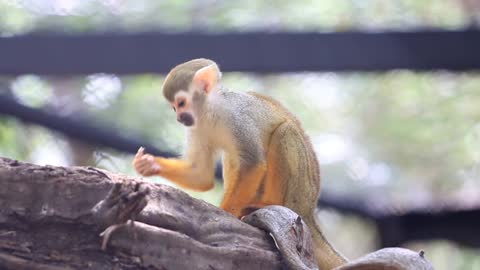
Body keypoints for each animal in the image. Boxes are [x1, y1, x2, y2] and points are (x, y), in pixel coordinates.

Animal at [133, 58, 346, 268]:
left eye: (181, 103)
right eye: (174, 107)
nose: (179, 118)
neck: (211, 111)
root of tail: (310, 211)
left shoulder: (237, 119)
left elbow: (253, 163)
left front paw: (226, 212)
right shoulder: (196, 126)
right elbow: (200, 174)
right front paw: (149, 164)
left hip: (301, 192)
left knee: (284, 132)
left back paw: (267, 203)